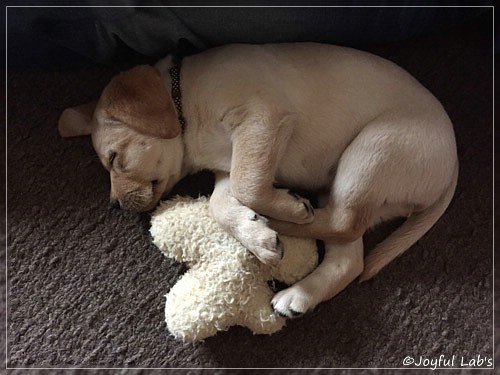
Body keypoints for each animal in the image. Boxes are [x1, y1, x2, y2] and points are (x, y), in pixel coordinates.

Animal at [57, 44, 458, 320]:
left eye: (113, 158)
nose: (114, 205)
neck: (186, 107)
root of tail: (452, 167)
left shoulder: (261, 120)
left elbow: (247, 186)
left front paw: (271, 222)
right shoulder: (228, 165)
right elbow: (221, 203)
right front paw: (255, 234)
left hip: (371, 152)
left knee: (344, 223)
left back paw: (290, 219)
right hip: (349, 180)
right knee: (347, 255)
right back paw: (298, 291)